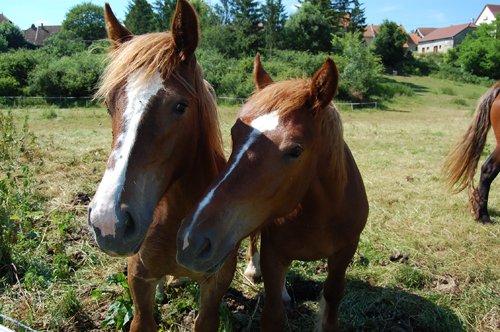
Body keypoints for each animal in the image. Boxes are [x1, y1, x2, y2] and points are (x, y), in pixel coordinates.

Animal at [176, 55, 368, 332]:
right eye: (234, 132)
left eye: (295, 151)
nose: (191, 241)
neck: (319, 215)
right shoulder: (272, 253)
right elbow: (274, 314)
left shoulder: (346, 250)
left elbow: (333, 294)